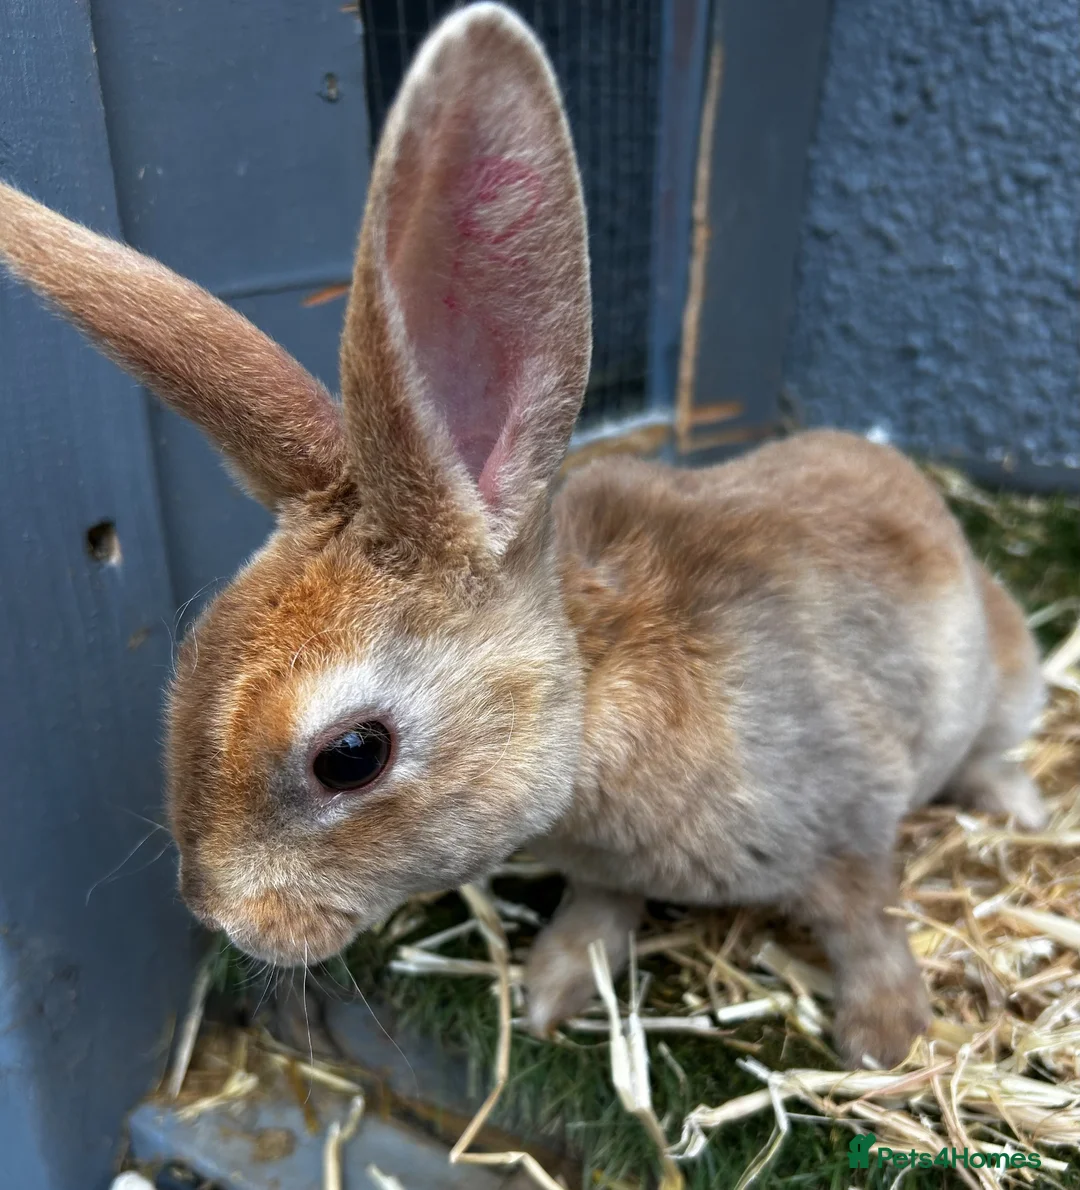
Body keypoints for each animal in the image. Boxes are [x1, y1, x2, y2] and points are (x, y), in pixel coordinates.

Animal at [0, 2, 1045, 1070]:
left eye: (351, 756)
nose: (215, 914)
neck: (595, 694)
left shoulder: (849, 817)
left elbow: (863, 917)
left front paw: (885, 1038)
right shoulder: (610, 870)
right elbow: (600, 907)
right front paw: (553, 992)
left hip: (1002, 682)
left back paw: (1017, 803)